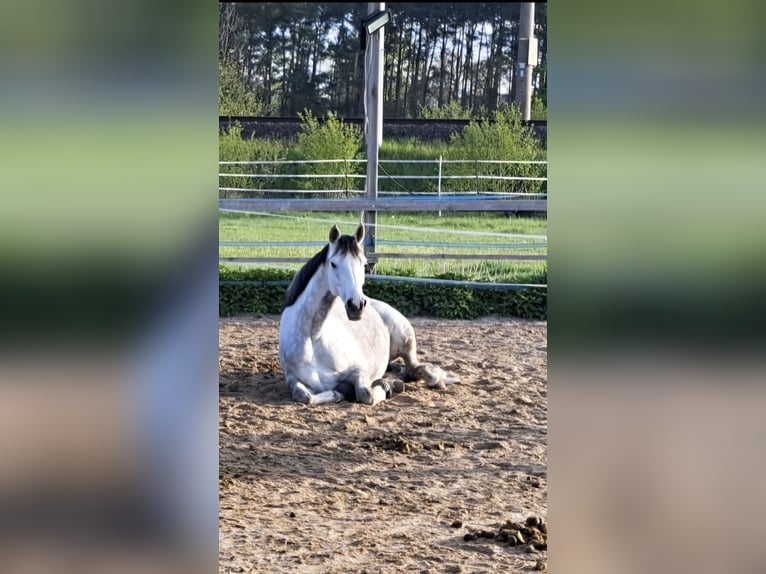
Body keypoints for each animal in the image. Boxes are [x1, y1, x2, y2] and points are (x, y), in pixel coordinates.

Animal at [278, 223, 459, 406]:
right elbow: (303, 395)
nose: (356, 305)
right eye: (333, 264)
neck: (313, 338)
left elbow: (367, 394)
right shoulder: (293, 379)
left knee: (415, 368)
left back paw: (430, 381)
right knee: (402, 371)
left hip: (405, 341)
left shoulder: (357, 370)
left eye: (364, 264)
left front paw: (385, 389)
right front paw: (338, 394)